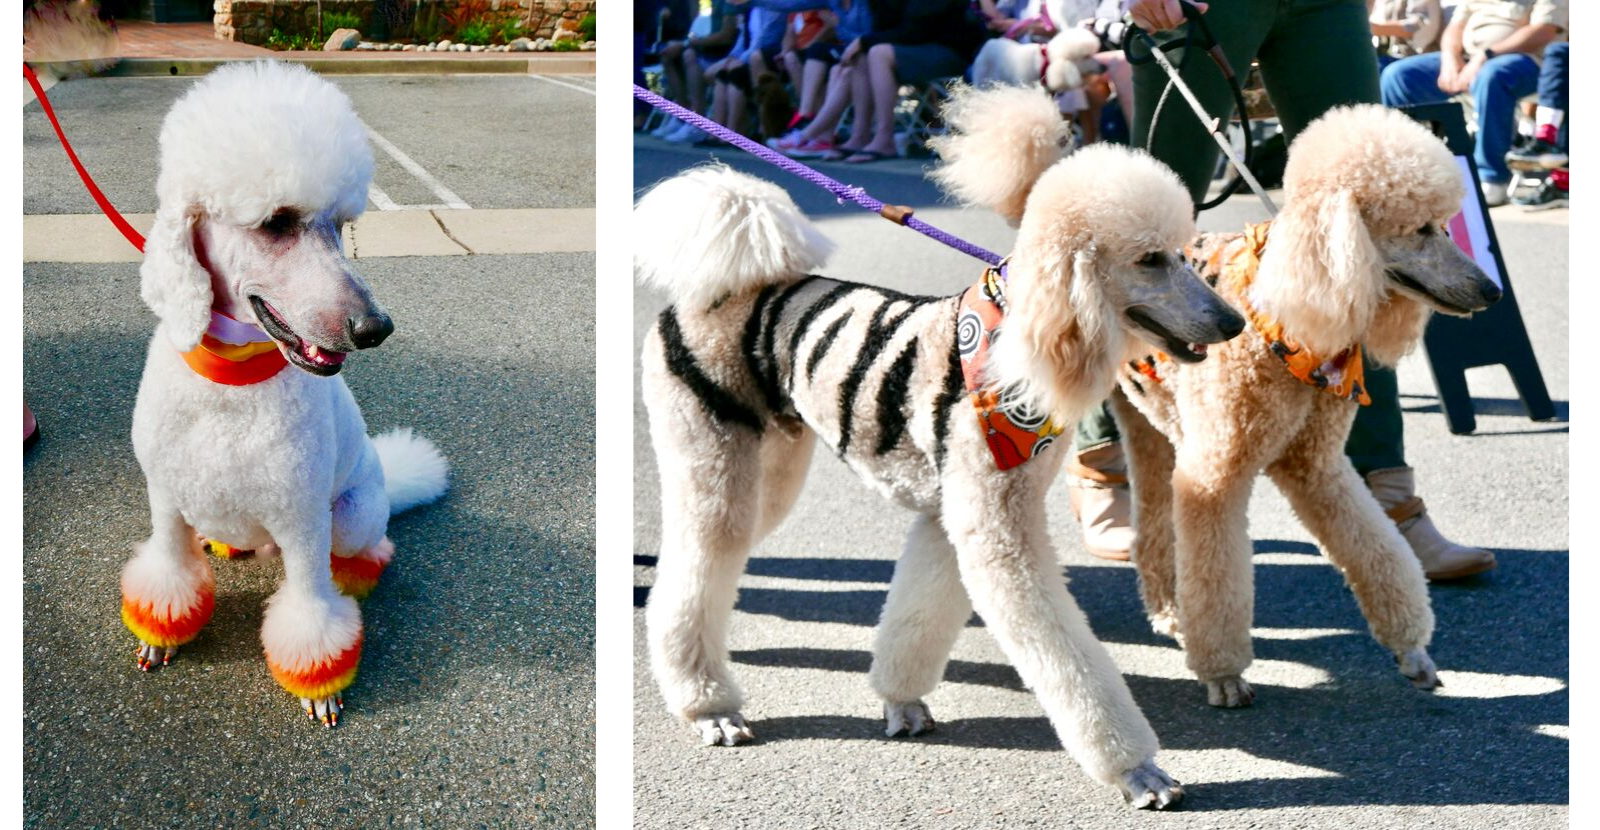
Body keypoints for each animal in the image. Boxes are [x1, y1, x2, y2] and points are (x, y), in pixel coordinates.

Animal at [120, 61, 448, 729]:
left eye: (341, 226)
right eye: (276, 221)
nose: (375, 328)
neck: (232, 384)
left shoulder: (301, 521)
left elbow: (310, 611)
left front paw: (321, 683)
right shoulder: (164, 499)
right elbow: (169, 571)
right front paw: (159, 632)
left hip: (350, 515)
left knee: (370, 546)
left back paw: (356, 570)